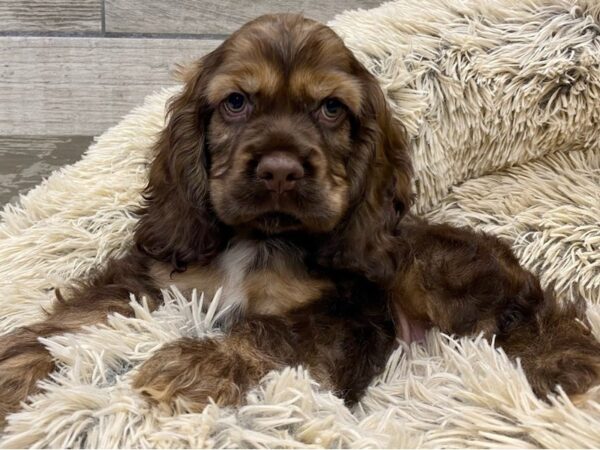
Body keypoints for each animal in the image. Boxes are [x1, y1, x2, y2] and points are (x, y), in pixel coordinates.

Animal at [0, 12, 596, 424]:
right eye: (236, 102)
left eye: (331, 108)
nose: (281, 170)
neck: (259, 241)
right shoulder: (153, 275)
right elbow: (81, 317)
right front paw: (18, 366)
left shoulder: (349, 316)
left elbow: (274, 330)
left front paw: (197, 363)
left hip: (427, 266)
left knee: (534, 313)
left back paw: (565, 366)